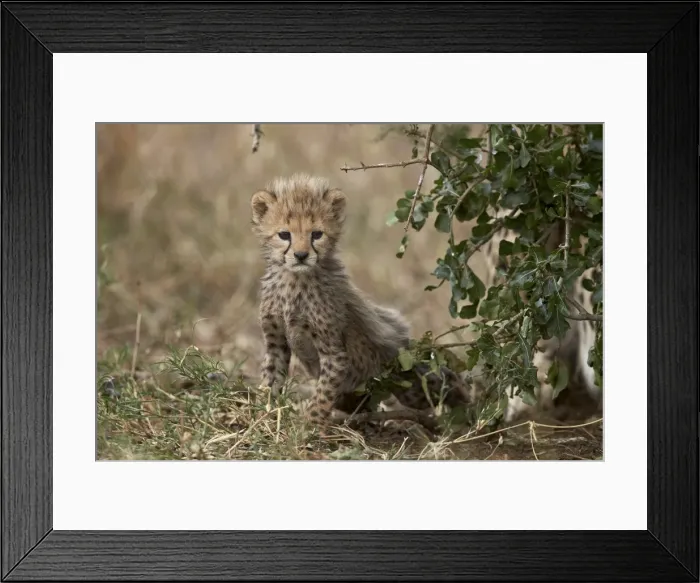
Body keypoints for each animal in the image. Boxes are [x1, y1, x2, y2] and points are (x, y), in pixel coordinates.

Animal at [250, 173, 471, 428]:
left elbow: (322, 395)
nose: (301, 255)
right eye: (284, 235)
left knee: (443, 380)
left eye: (317, 234)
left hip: (409, 383)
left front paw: (310, 425)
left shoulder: (333, 353)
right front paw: (261, 415)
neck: (294, 278)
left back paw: (469, 405)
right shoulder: (276, 342)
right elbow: (271, 379)